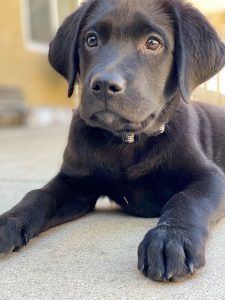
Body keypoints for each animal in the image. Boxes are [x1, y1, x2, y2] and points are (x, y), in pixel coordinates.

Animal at [0, 0, 225, 282]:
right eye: (91, 40)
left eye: (153, 43)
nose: (105, 84)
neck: (126, 142)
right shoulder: (75, 182)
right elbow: (38, 194)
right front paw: (8, 220)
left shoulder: (211, 176)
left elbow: (187, 199)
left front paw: (171, 237)